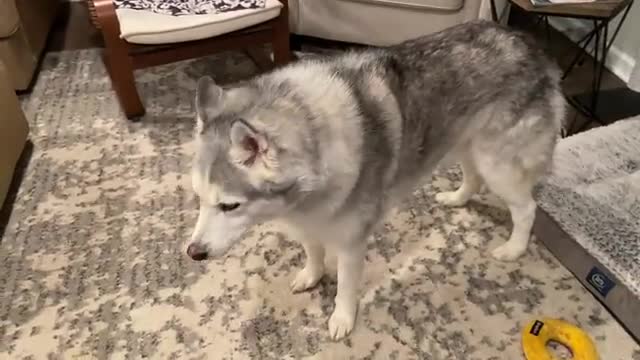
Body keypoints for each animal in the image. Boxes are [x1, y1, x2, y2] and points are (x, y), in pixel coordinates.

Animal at [186, 21, 564, 338]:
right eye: (199, 198)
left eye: (229, 205)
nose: (193, 253)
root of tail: (528, 42)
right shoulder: (307, 222)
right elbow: (313, 251)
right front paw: (312, 275)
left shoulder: (351, 243)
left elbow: (344, 287)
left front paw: (342, 318)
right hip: (464, 145)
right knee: (473, 178)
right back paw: (457, 198)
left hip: (498, 165)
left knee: (526, 208)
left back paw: (514, 247)